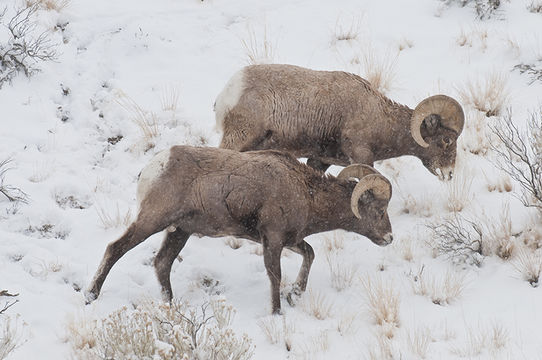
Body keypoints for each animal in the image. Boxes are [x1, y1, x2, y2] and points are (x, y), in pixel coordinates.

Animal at [85, 145, 394, 314]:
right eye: (379, 211)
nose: (389, 238)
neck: (306, 194)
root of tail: (154, 166)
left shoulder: (289, 240)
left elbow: (310, 254)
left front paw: (296, 293)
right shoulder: (272, 239)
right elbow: (275, 276)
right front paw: (277, 312)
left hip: (179, 231)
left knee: (162, 263)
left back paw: (170, 305)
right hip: (152, 221)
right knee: (116, 249)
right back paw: (91, 296)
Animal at [217, 64, 468, 180]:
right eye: (447, 140)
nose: (449, 174)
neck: (380, 119)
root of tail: (229, 91)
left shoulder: (319, 160)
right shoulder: (362, 156)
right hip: (239, 137)